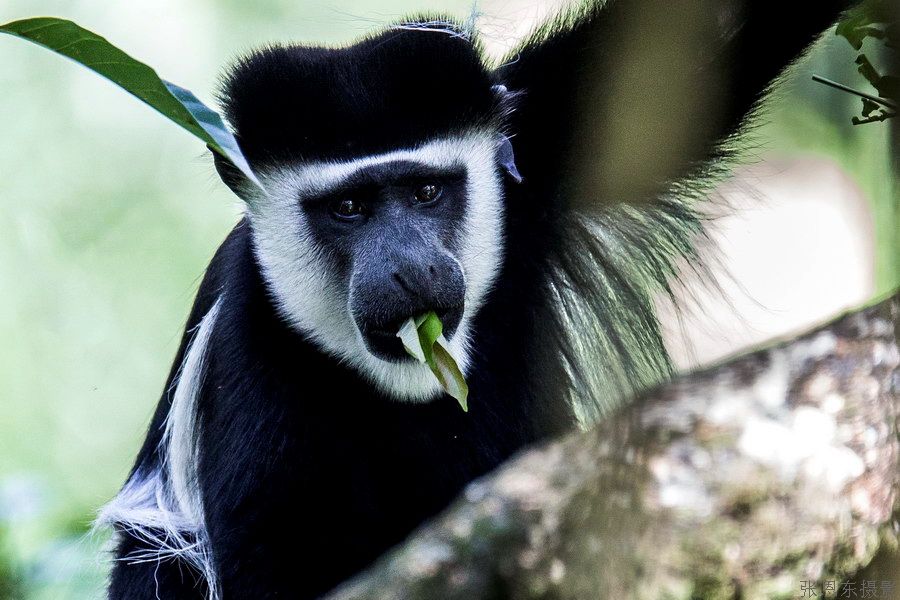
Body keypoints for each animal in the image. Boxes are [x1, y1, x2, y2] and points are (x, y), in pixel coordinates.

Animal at [98, 2, 856, 596]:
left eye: (427, 190)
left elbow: (702, 52)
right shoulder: (252, 359)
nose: (408, 270)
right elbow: (276, 559)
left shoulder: (535, 157)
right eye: (348, 207)